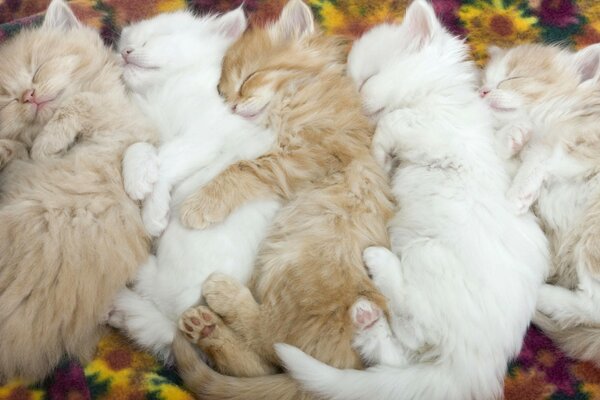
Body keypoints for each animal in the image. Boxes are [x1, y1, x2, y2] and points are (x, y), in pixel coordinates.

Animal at [0, 0, 157, 382]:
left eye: (38, 67)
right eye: (7, 99)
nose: (28, 96)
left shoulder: (122, 122)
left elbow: (80, 102)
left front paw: (48, 143)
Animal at [108, 9, 282, 360]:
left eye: (153, 40)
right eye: (125, 43)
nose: (125, 52)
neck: (161, 92)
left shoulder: (202, 138)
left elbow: (165, 161)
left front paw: (153, 212)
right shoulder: (150, 134)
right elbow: (140, 149)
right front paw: (137, 179)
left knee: (161, 292)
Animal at [274, 1, 552, 398]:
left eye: (366, 81)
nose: (354, 100)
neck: (437, 97)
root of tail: (472, 366)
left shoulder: (440, 130)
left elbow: (395, 121)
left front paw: (377, 150)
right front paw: (382, 157)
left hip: (427, 255)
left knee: (414, 319)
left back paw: (379, 261)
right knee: (400, 351)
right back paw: (368, 320)